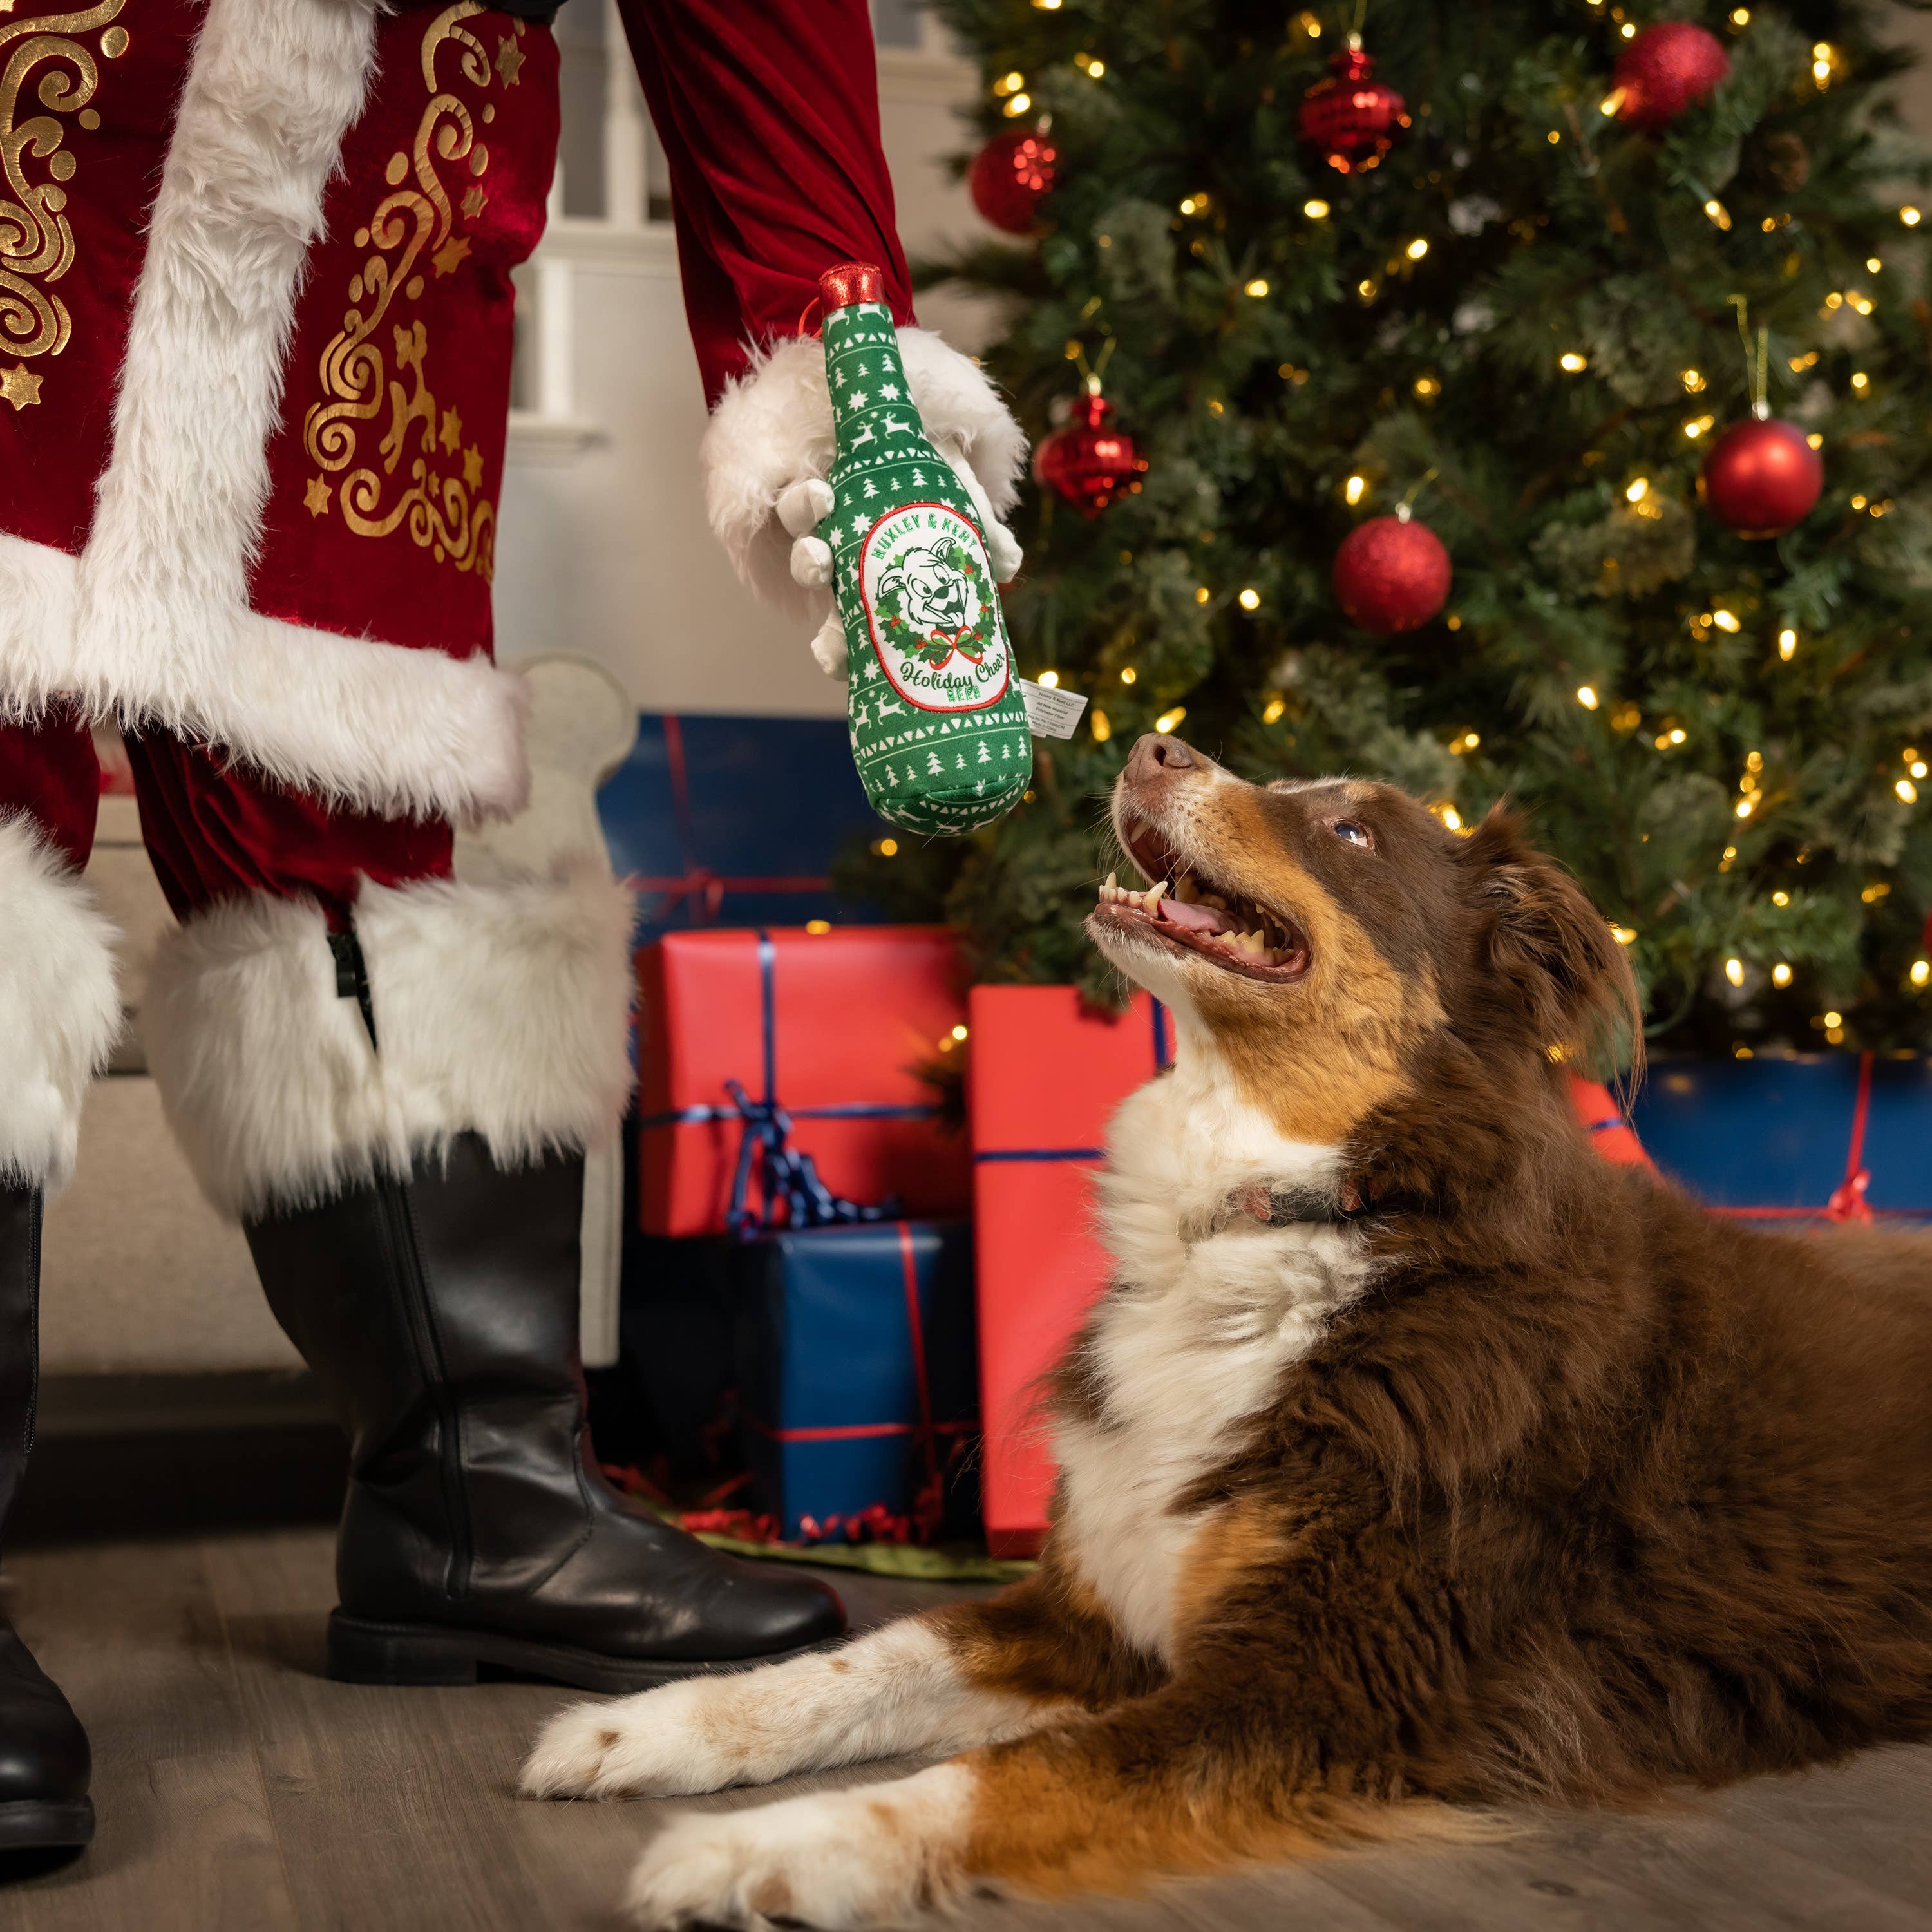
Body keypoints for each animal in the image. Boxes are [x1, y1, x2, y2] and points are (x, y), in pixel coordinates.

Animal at [522, 730, 1932, 1924]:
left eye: (1353, 830)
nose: (1152, 745)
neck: (1292, 1212)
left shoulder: (1329, 1681)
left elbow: (1018, 1778)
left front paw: (757, 1850)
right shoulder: (1096, 1606)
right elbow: (863, 1664)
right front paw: (647, 1728)